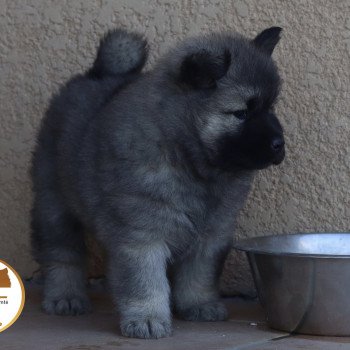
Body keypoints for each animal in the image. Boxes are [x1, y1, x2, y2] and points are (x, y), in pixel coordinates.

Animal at [30, 27, 284, 340]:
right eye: (241, 113)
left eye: (271, 107)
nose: (280, 144)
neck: (189, 161)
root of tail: (96, 74)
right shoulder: (142, 236)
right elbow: (145, 282)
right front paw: (148, 319)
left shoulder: (212, 235)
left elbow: (200, 274)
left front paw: (199, 304)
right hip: (54, 206)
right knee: (62, 255)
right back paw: (65, 297)